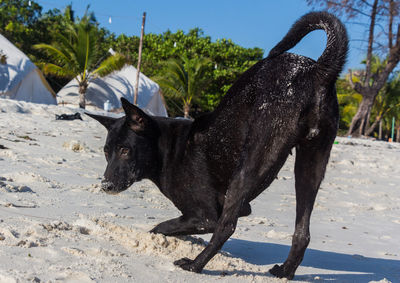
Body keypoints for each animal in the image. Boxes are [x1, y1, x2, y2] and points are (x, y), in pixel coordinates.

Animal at [86, 12, 346, 280]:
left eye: (125, 150)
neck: (167, 149)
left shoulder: (204, 216)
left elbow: (163, 226)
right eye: (106, 152)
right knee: (302, 232)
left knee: (226, 227)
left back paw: (196, 265)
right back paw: (285, 270)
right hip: (310, 163)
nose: (105, 186)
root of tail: (316, 70)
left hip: (251, 164)